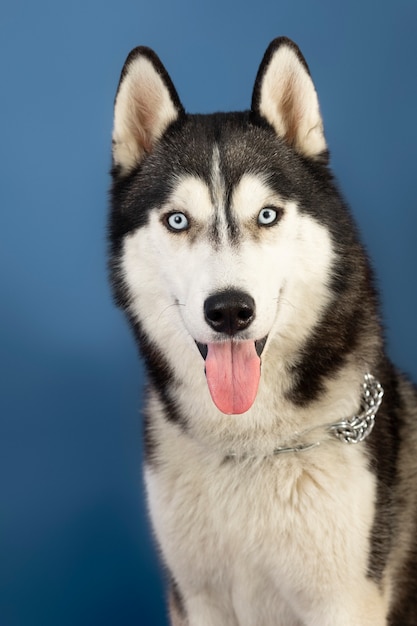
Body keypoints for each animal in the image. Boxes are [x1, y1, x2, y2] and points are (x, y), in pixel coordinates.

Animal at [109, 36, 416, 620]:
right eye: (177, 220)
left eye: (268, 215)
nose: (230, 311)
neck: (250, 448)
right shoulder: (198, 599)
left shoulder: (343, 601)